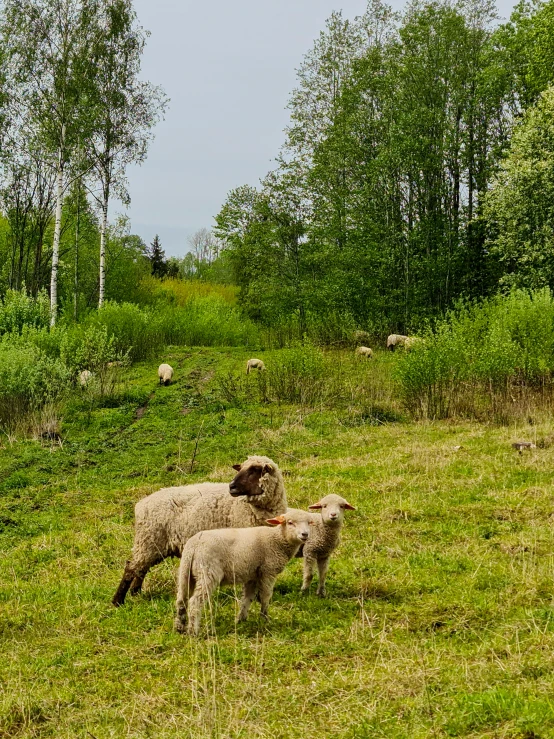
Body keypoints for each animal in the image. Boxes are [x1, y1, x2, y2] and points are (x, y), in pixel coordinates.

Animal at [110, 456, 286, 608]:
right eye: (240, 468)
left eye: (255, 469)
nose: (231, 486)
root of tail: (141, 504)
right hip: (148, 540)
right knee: (131, 567)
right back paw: (118, 601)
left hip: (153, 544)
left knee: (141, 568)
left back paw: (136, 593)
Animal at [175, 508, 312, 636]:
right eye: (290, 522)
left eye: (309, 522)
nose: (305, 534)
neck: (277, 539)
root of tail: (193, 545)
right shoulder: (268, 570)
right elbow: (266, 596)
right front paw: (265, 619)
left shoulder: (253, 575)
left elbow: (247, 598)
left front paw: (241, 620)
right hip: (208, 572)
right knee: (195, 602)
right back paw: (193, 632)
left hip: (186, 573)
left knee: (182, 599)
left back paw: (179, 628)